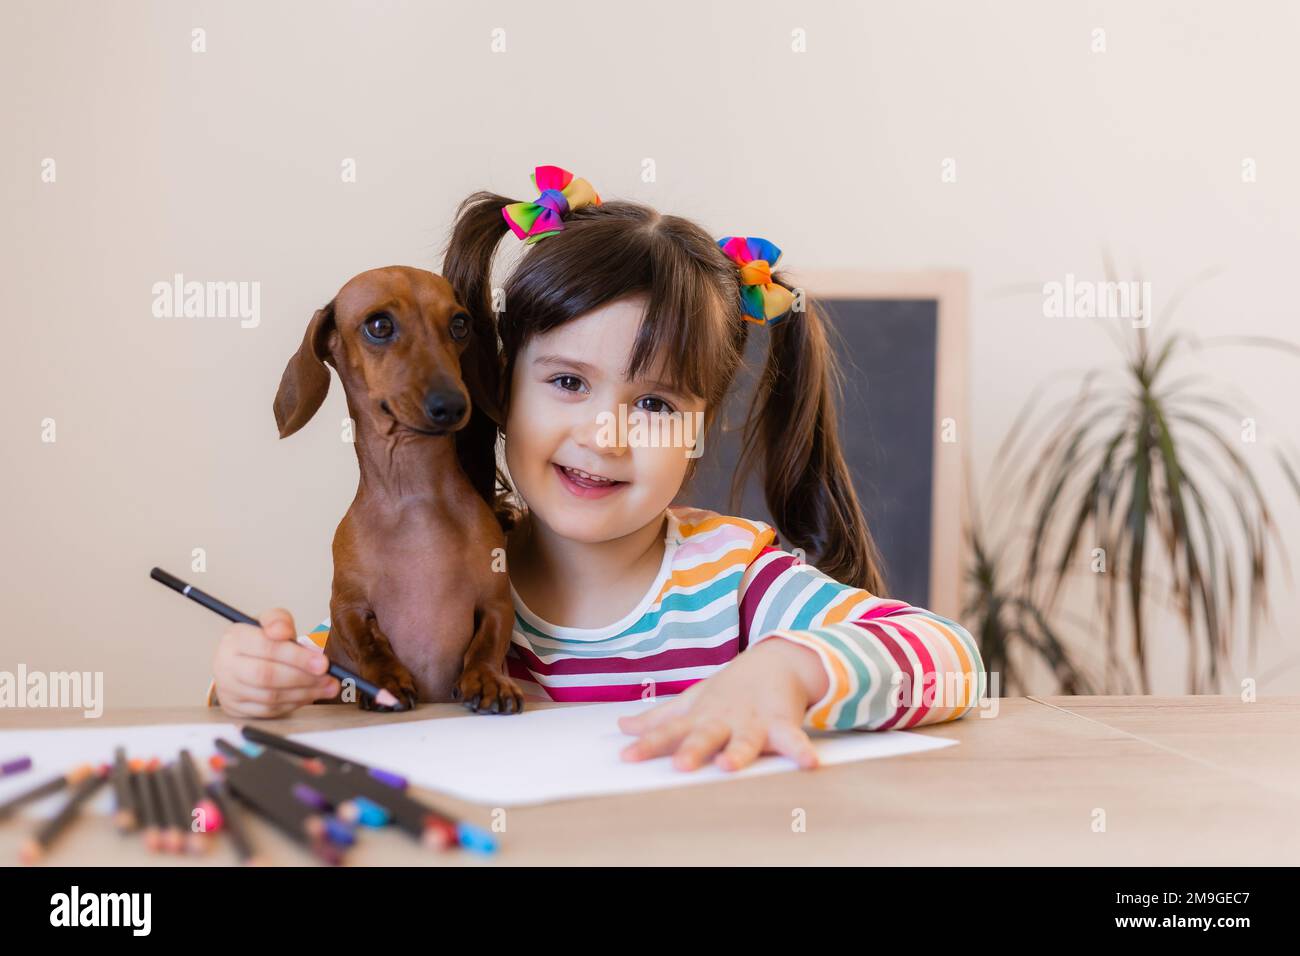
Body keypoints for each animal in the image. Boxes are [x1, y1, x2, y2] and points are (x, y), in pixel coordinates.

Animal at [273, 265, 522, 712]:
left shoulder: (495, 599)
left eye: (459, 324)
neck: (414, 493)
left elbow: (487, 642)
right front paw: (385, 680)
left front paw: (488, 679)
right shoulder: (347, 604)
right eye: (379, 325)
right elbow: (367, 642)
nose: (452, 405)